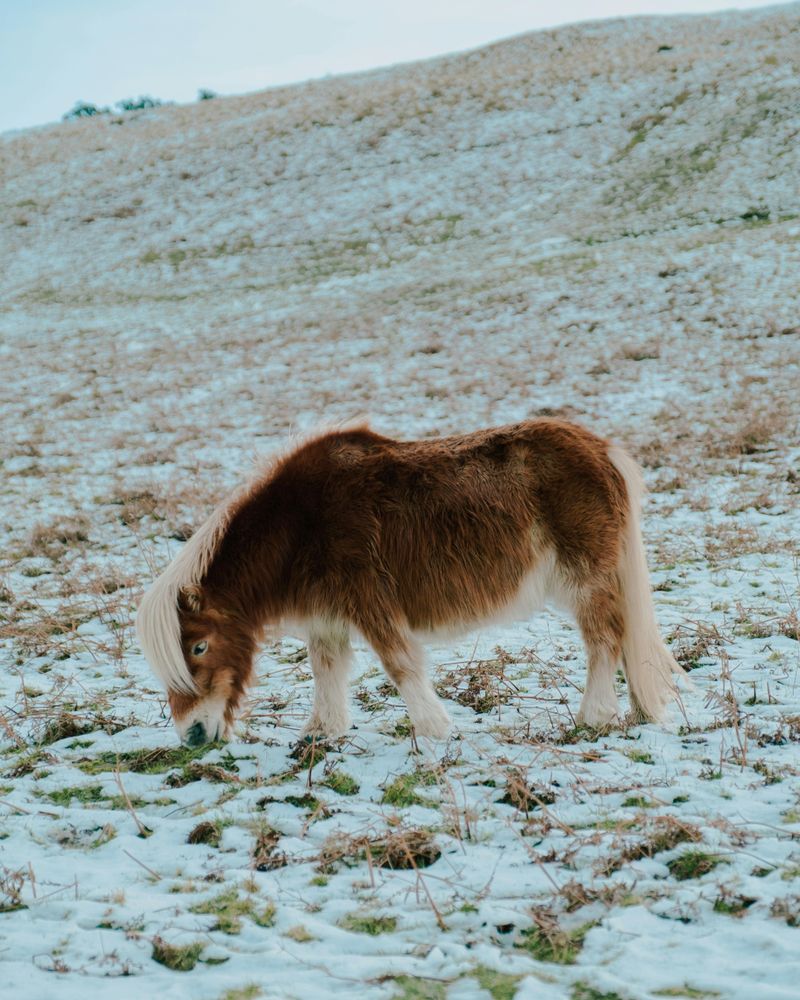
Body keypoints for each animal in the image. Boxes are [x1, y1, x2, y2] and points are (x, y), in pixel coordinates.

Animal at [136, 418, 680, 748]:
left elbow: (399, 665)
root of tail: (601, 449)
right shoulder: (327, 619)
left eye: (199, 647)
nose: (191, 735)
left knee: (604, 639)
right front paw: (321, 732)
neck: (300, 523)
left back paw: (593, 717)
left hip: (584, 579)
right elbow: (326, 670)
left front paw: (436, 730)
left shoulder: (369, 600)